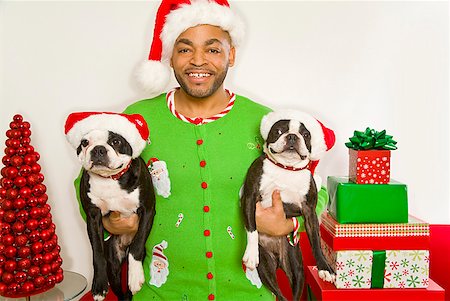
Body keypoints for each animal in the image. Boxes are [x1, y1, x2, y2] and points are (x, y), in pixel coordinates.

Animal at [64, 112, 156, 300]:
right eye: (85, 142)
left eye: (116, 141)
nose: (98, 149)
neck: (110, 179)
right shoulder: (93, 217)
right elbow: (97, 253)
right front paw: (99, 285)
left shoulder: (147, 210)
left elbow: (137, 245)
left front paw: (135, 277)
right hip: (114, 264)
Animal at [243, 110, 334, 300]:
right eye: (279, 131)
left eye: (306, 134)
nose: (292, 136)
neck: (286, 168)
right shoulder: (249, 198)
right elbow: (252, 229)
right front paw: (251, 254)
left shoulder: (309, 211)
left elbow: (316, 241)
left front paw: (324, 268)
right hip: (265, 266)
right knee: (279, 292)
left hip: (297, 268)